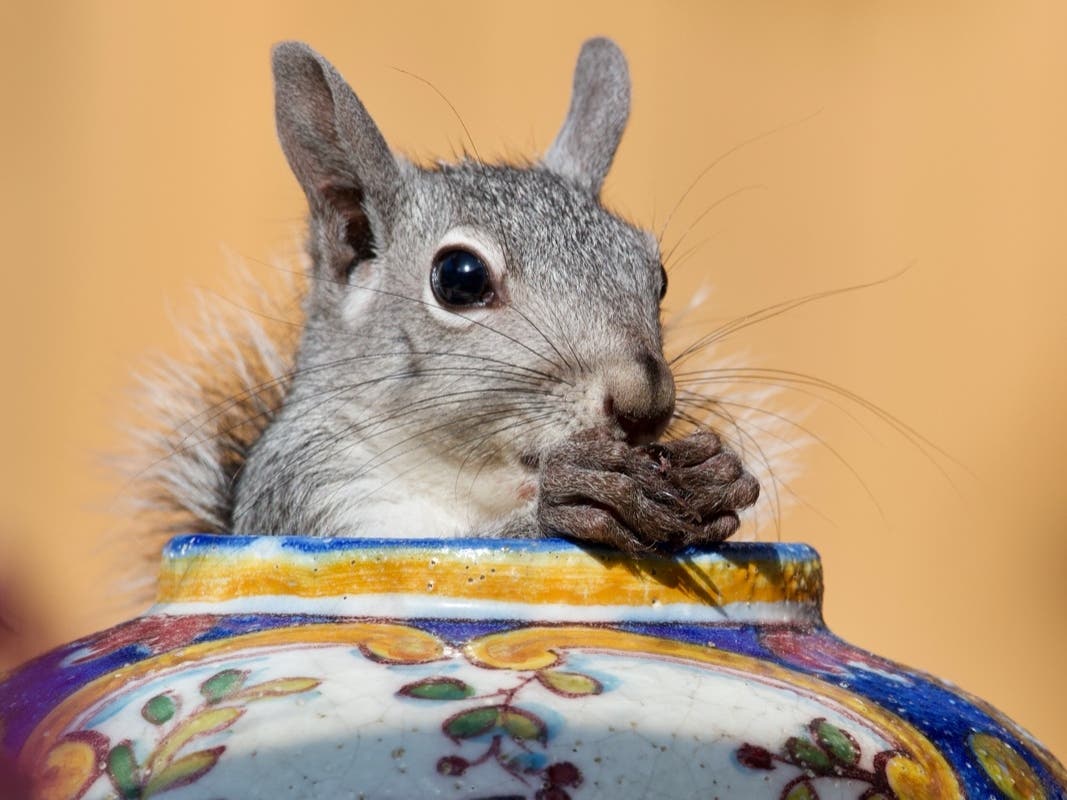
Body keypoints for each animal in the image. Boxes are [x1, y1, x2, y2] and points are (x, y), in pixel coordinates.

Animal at [133, 38, 761, 552]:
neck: (478, 482)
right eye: (460, 278)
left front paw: (717, 473)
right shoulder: (309, 496)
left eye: (659, 276)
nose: (645, 403)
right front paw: (571, 496)